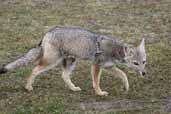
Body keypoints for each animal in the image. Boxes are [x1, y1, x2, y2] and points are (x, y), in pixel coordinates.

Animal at [0, 26, 147, 96]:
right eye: (136, 63)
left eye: (144, 62)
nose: (144, 73)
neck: (115, 49)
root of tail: (48, 32)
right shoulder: (96, 65)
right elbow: (97, 81)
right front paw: (99, 93)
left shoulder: (108, 67)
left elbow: (123, 75)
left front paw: (126, 87)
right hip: (51, 62)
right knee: (34, 69)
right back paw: (28, 87)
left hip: (70, 62)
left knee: (64, 76)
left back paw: (73, 88)